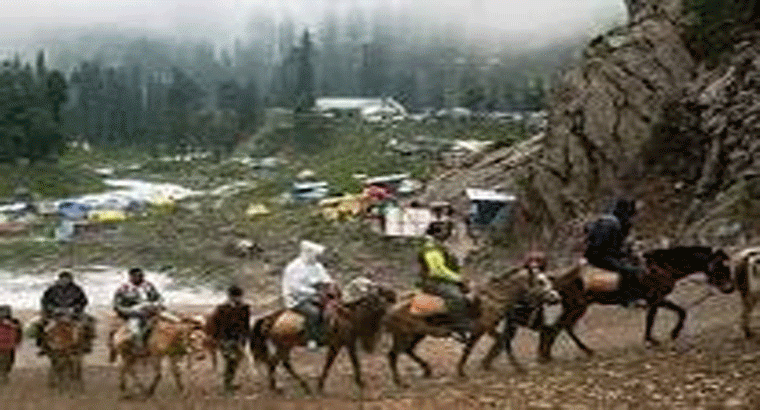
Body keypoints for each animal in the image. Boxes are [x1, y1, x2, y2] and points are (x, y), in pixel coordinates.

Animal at [249, 279, 396, 394]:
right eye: (378, 291)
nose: (393, 295)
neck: (349, 315)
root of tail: (273, 317)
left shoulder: (345, 343)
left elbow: (340, 362)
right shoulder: (342, 343)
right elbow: (339, 363)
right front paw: (359, 383)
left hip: (285, 346)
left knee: (277, 362)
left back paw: (280, 386)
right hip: (283, 345)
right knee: (280, 362)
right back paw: (294, 386)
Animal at [382, 266, 561, 387]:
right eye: (540, 281)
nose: (556, 297)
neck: (493, 298)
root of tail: (392, 307)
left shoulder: (484, 329)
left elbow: (485, 344)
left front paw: (467, 368)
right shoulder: (483, 329)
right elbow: (495, 343)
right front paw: (518, 367)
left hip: (417, 334)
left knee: (407, 350)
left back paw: (426, 370)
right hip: (403, 335)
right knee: (393, 355)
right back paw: (399, 382)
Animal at [538, 246, 734, 361]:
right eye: (720, 266)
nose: (730, 288)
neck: (661, 266)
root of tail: (558, 280)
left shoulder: (657, 299)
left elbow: (680, 311)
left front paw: (671, 333)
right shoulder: (655, 299)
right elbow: (653, 318)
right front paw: (652, 339)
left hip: (574, 307)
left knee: (561, 327)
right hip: (577, 307)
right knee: (559, 327)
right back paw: (552, 354)